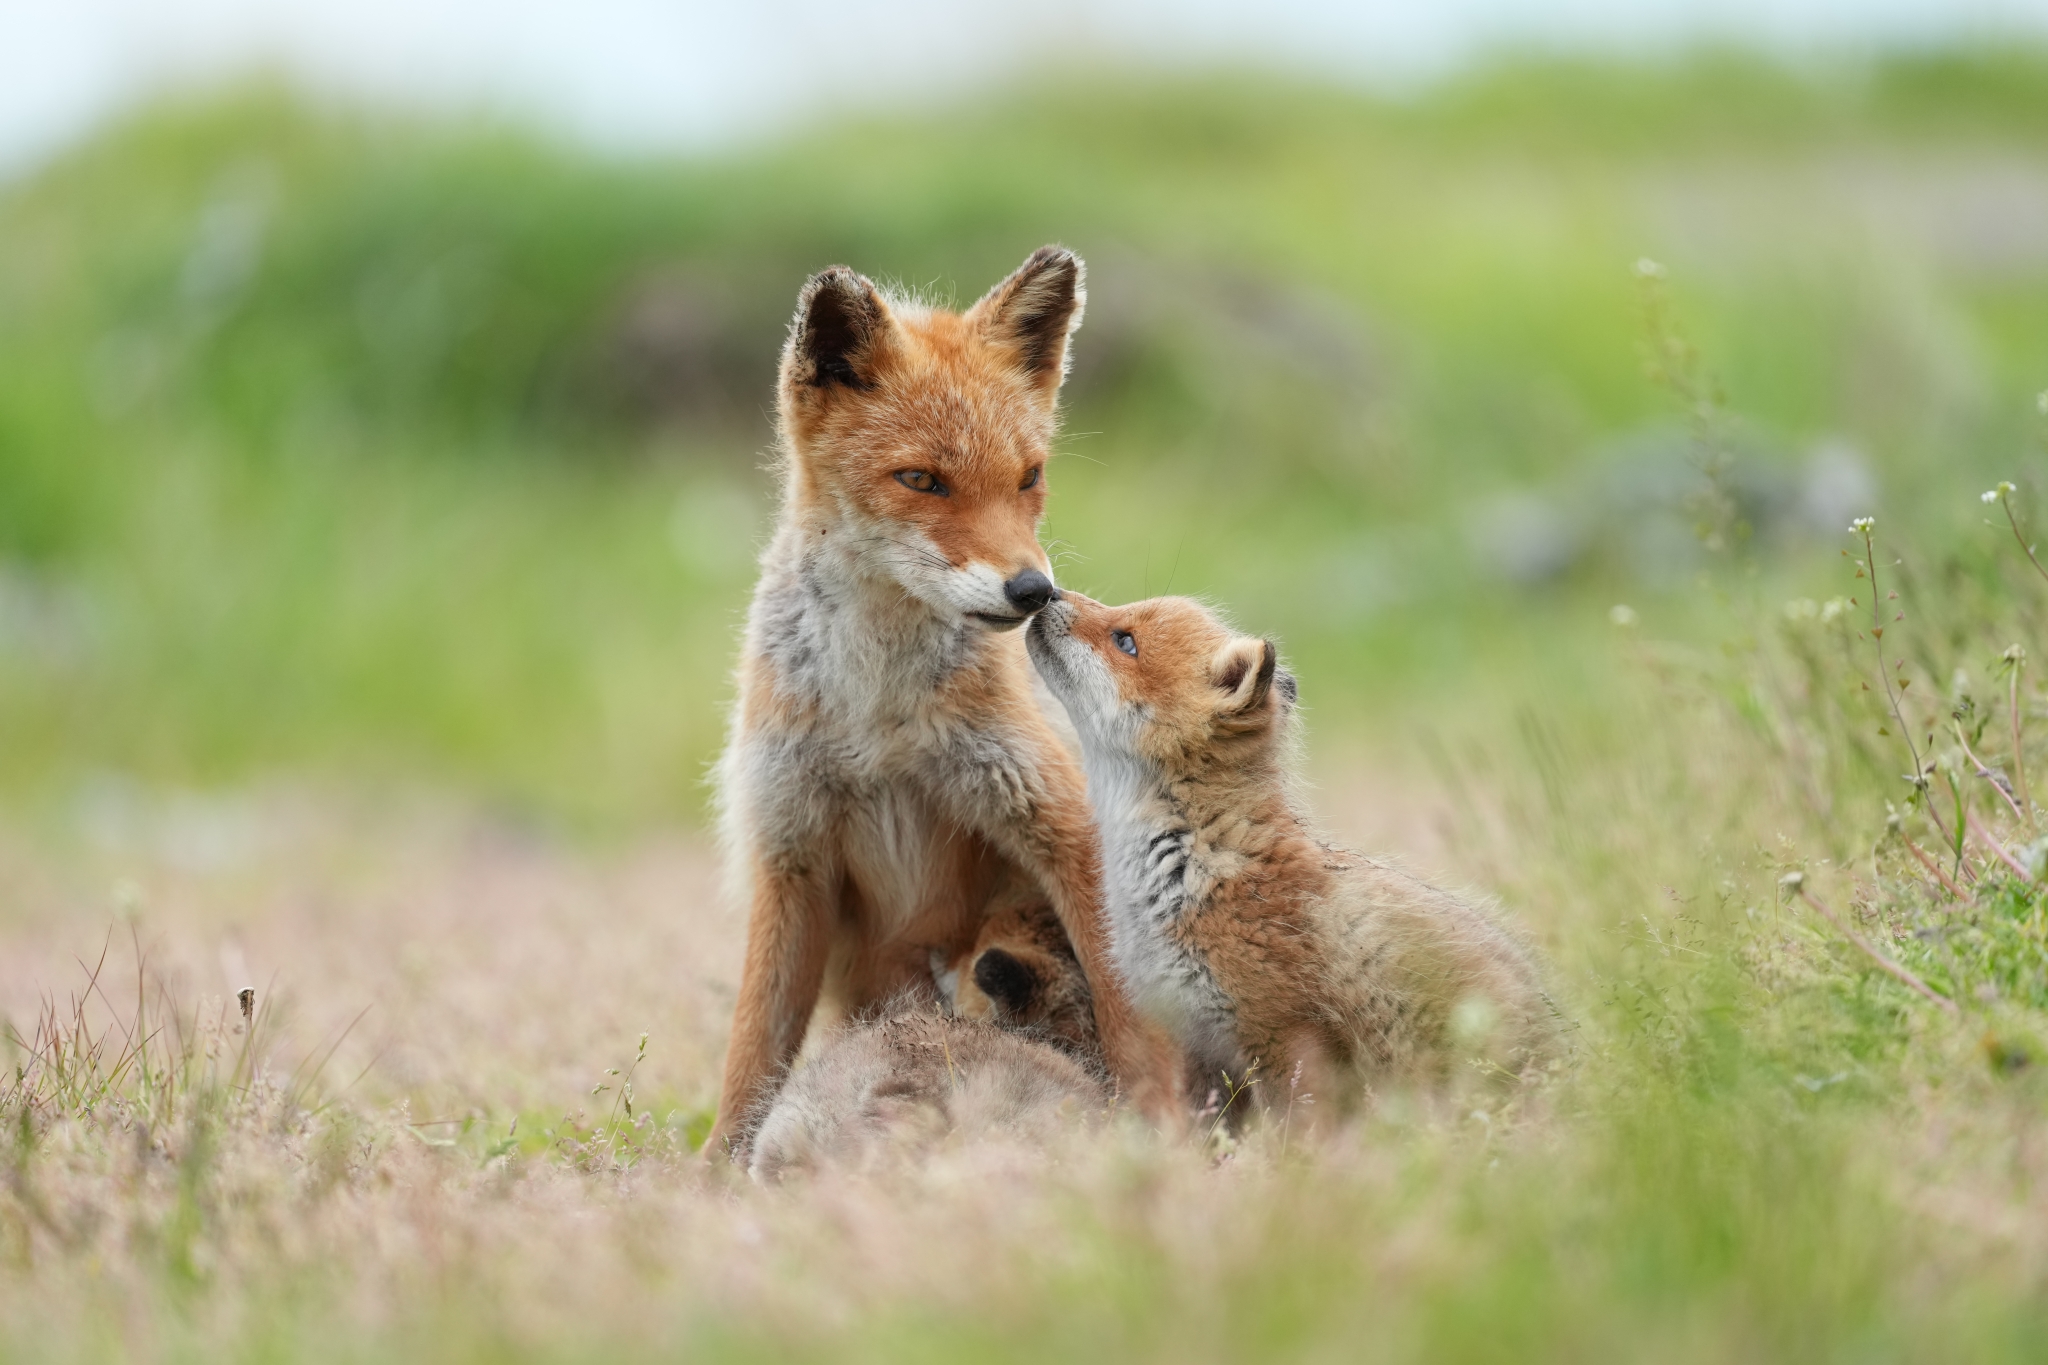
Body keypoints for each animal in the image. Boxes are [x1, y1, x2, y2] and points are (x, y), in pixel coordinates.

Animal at [706, 247, 1179, 1159]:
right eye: (922, 480)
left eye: (1029, 478)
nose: (1033, 591)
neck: (880, 718)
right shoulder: (791, 853)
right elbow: (751, 1054)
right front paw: (708, 1175)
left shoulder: (1059, 819)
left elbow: (1128, 1015)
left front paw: (1159, 1129)